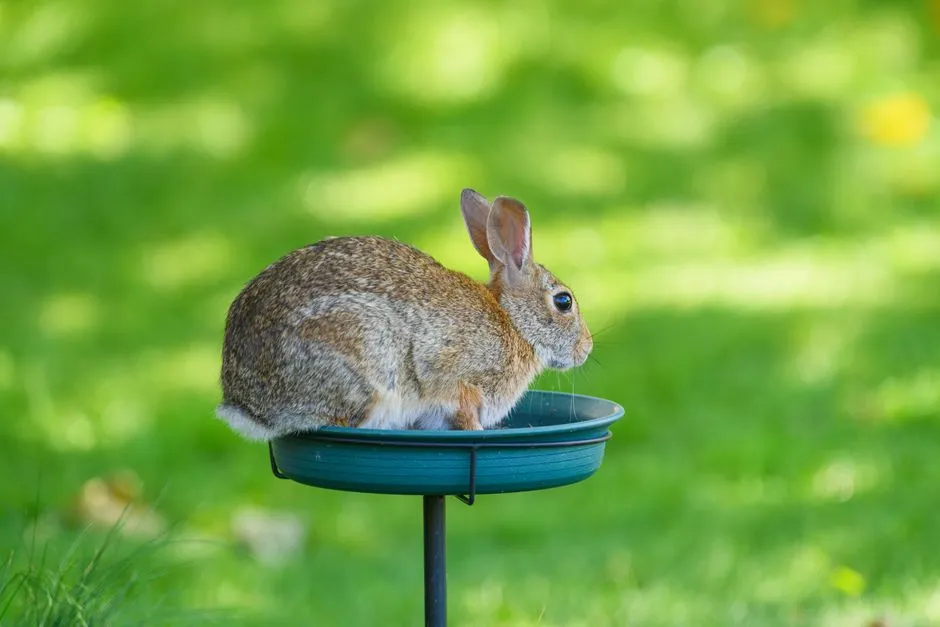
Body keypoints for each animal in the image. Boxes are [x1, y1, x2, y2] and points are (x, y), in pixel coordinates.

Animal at [216, 189, 593, 440]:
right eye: (563, 302)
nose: (586, 349)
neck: (514, 322)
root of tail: (245, 403)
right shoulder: (456, 377)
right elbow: (463, 409)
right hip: (365, 356)